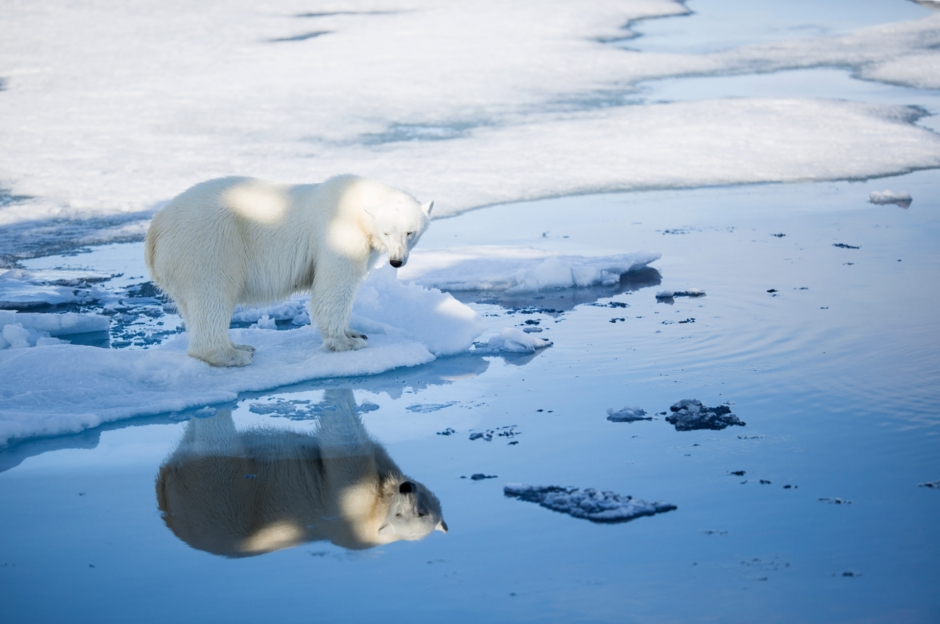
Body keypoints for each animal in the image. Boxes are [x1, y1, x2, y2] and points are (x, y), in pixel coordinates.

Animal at [145, 175, 433, 366]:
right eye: (387, 232)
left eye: (410, 232)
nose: (396, 261)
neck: (355, 201)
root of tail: (156, 229)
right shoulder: (338, 234)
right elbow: (334, 287)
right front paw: (347, 342)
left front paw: (354, 331)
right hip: (208, 245)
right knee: (212, 296)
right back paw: (234, 355)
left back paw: (239, 345)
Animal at [155, 389, 448, 556]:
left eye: (417, 513)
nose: (406, 487)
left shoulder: (353, 500)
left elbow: (341, 441)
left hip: (221, 491)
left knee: (214, 440)